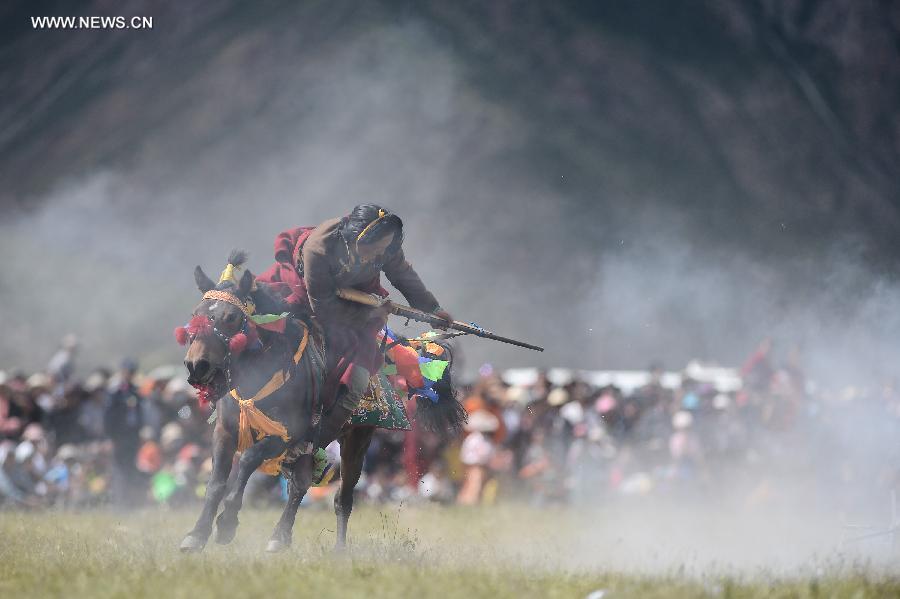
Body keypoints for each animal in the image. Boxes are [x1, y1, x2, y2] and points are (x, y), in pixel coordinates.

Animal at [180, 251, 468, 556]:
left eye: (231, 317)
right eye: (196, 315)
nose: (197, 365)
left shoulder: (289, 434)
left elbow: (247, 460)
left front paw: (227, 522)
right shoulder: (225, 431)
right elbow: (216, 482)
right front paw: (197, 534)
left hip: (355, 440)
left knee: (340, 497)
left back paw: (333, 548)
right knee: (301, 484)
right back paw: (281, 536)